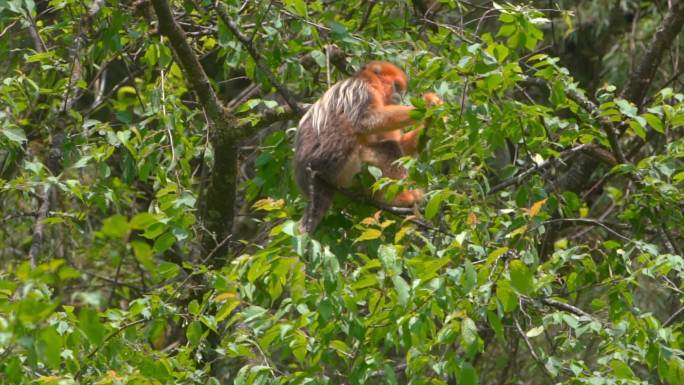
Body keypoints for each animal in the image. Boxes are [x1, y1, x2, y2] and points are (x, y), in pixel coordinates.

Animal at [296, 61, 444, 232]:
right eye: (396, 87)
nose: (400, 97)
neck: (369, 82)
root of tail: (313, 175)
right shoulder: (362, 91)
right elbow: (368, 120)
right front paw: (427, 106)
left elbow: (400, 143)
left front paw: (430, 121)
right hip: (347, 167)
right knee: (389, 148)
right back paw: (398, 198)